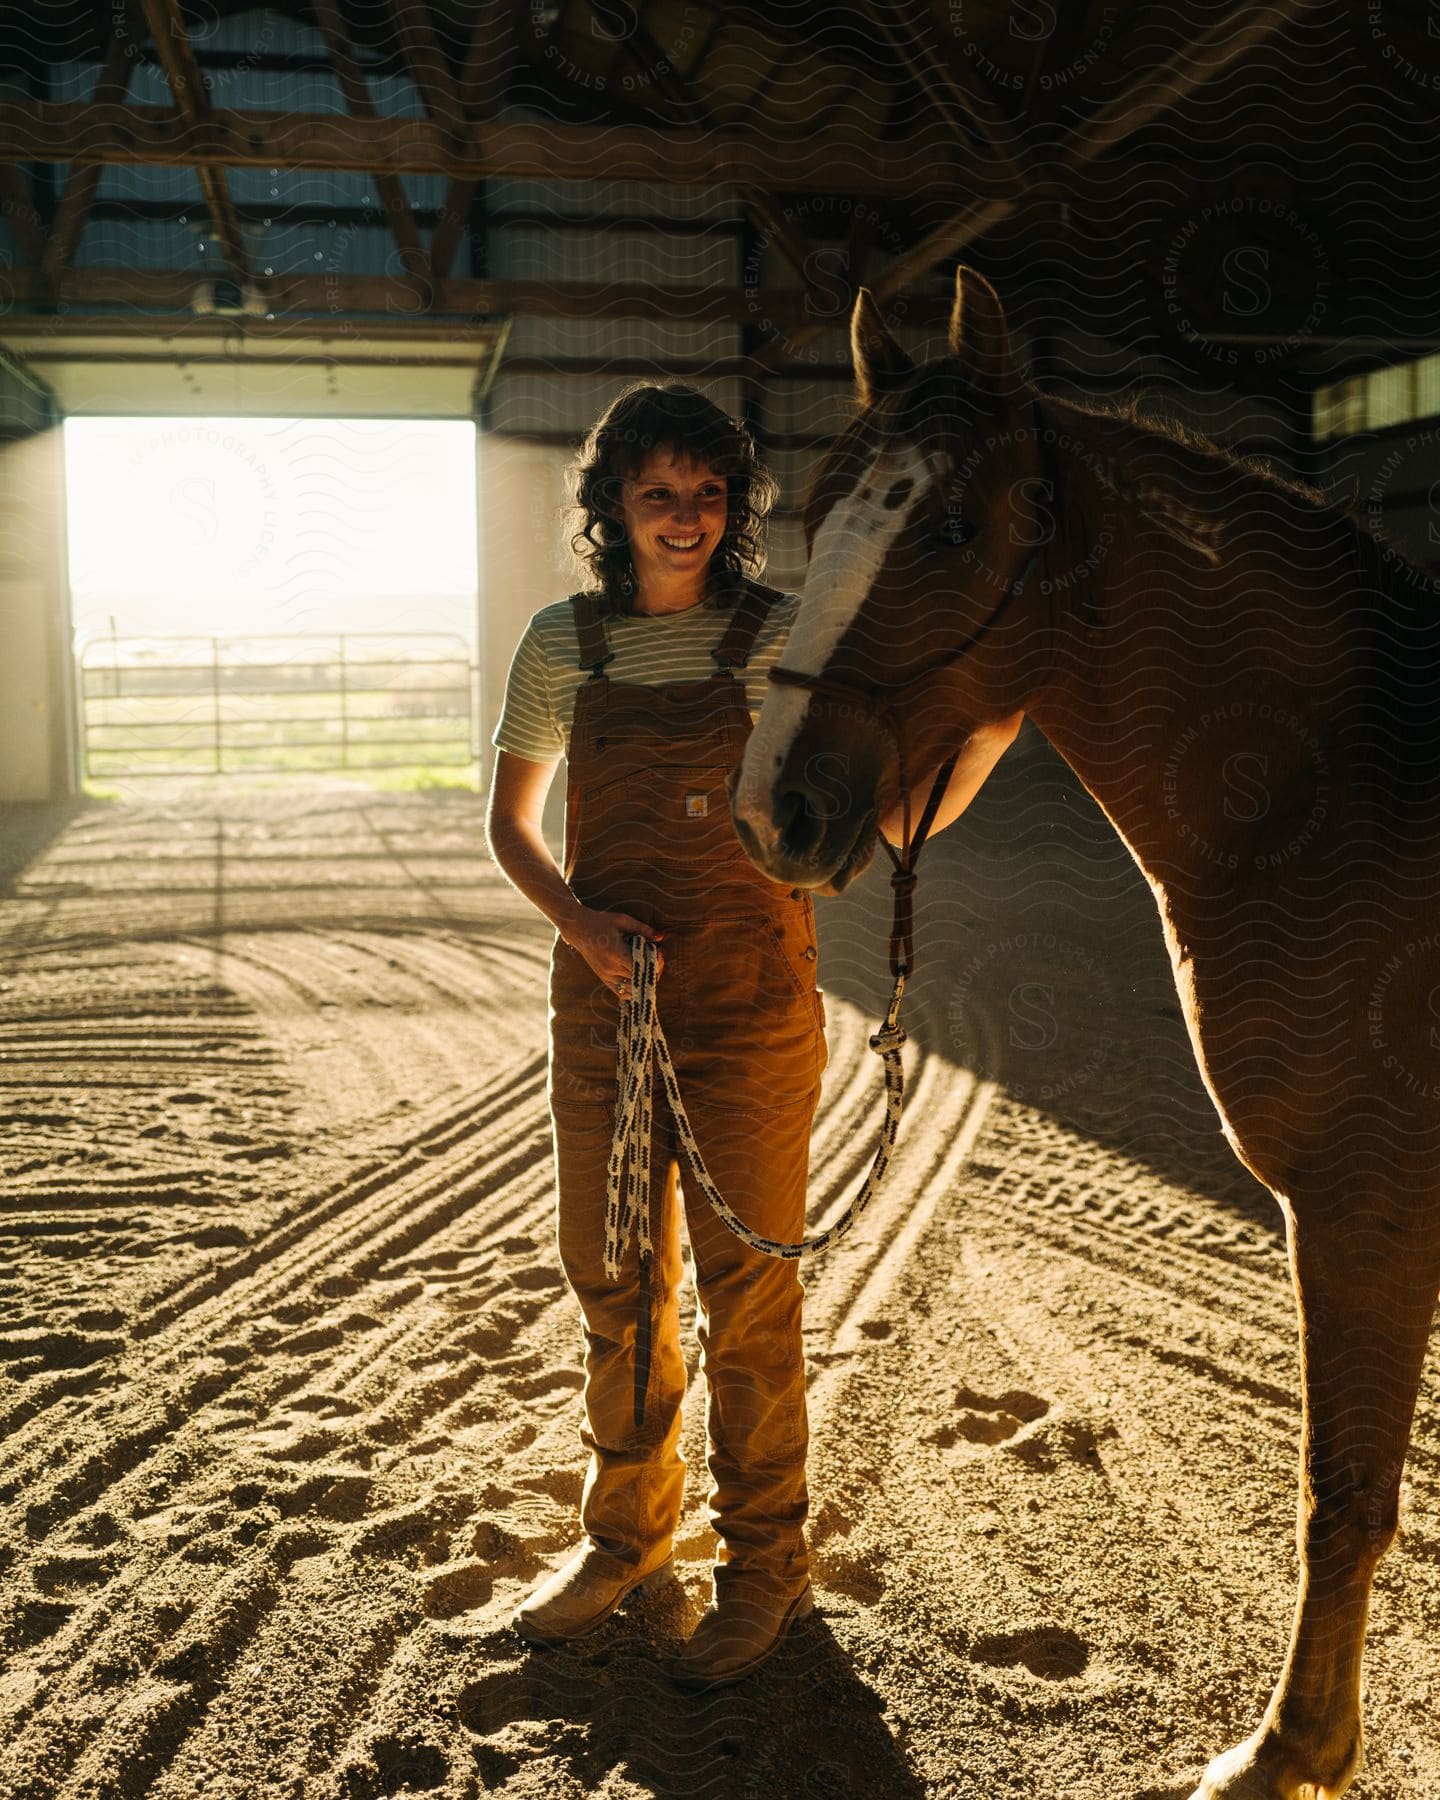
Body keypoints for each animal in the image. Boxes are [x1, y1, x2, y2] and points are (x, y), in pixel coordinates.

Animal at [730, 266, 1440, 1800]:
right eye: (814, 516)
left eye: (953, 527)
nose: (774, 809)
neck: (1344, 799)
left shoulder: (1363, 1206)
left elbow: (1344, 1492)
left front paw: (1289, 1751)